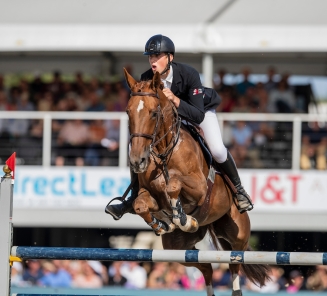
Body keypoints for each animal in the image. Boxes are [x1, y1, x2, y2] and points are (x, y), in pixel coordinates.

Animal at [123, 68, 272, 296]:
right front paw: (162, 223)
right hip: (176, 247)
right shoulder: (150, 195)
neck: (165, 153)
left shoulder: (200, 188)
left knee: (234, 262)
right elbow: (140, 204)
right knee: (206, 266)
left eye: (153, 113)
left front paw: (181, 217)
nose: (137, 161)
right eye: (128, 112)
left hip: (237, 233)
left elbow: (173, 185)